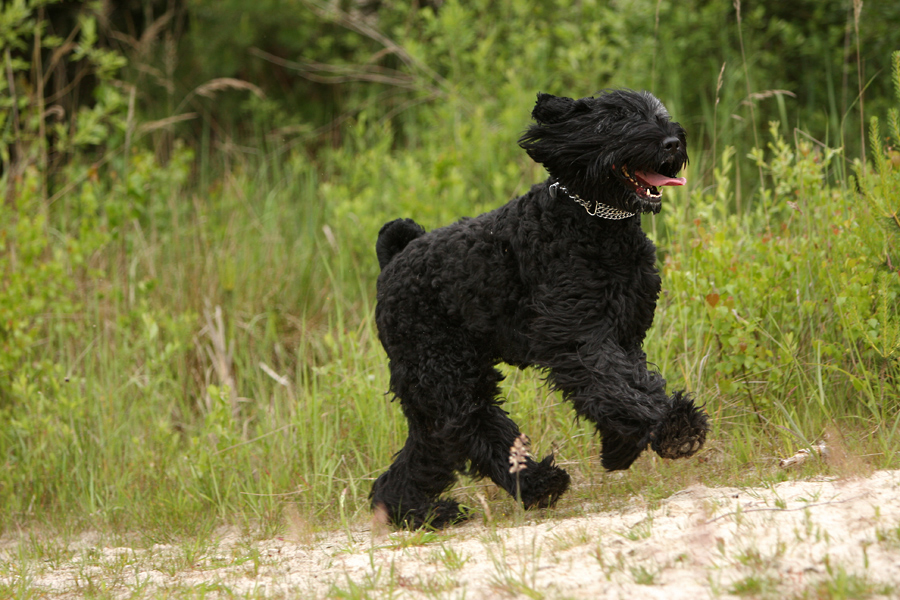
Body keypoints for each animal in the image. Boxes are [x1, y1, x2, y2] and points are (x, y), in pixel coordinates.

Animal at [370, 86, 708, 528]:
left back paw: (418, 512)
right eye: (615, 120)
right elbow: (619, 385)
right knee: (475, 430)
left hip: (440, 385)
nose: (672, 142)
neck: (592, 220)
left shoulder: (622, 335)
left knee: (430, 448)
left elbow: (627, 385)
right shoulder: (578, 338)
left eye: (656, 112)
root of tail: (393, 261)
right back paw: (536, 483)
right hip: (445, 376)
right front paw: (673, 425)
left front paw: (622, 445)